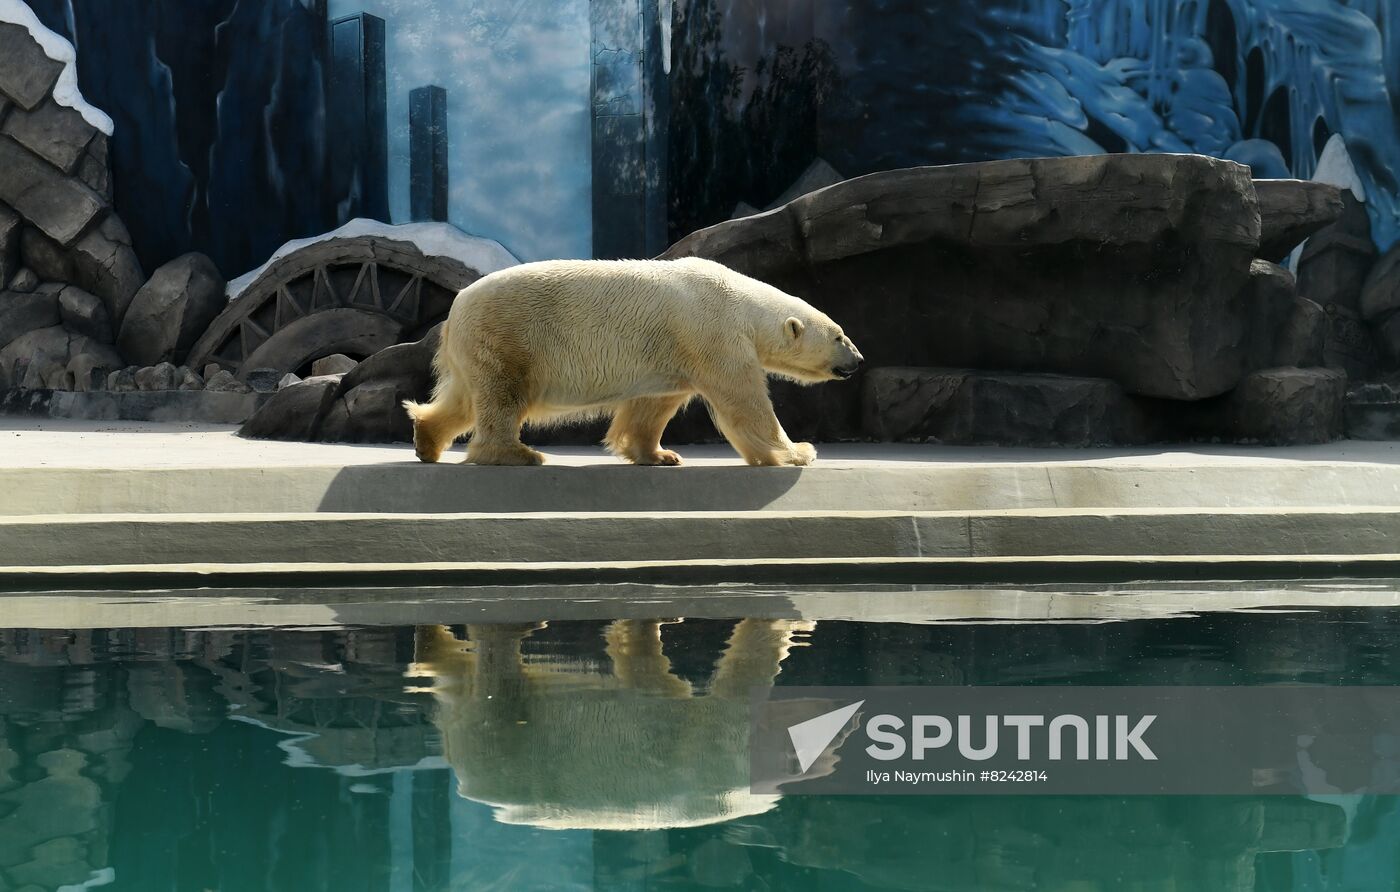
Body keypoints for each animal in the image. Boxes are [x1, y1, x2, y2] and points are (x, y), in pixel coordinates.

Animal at [403, 257, 863, 466]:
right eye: (840, 335)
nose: (858, 360)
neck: (742, 303)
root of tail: (454, 310)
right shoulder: (715, 334)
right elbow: (745, 403)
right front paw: (799, 451)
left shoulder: (675, 352)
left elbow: (652, 405)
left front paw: (659, 454)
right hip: (509, 336)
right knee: (503, 396)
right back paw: (519, 453)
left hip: (477, 348)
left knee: (464, 399)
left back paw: (427, 441)